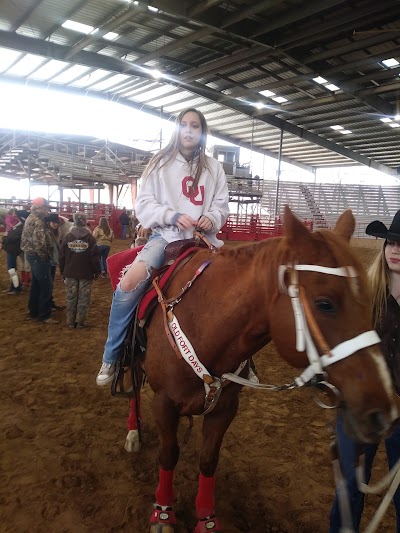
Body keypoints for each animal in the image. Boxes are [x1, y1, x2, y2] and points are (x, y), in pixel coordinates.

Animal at [123, 206, 398, 528]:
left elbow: (208, 460)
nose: (384, 412)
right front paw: (163, 513)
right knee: (133, 392)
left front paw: (206, 519)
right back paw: (133, 434)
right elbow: (168, 455)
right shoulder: (164, 404)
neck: (203, 322)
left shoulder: (225, 409)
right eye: (325, 303)